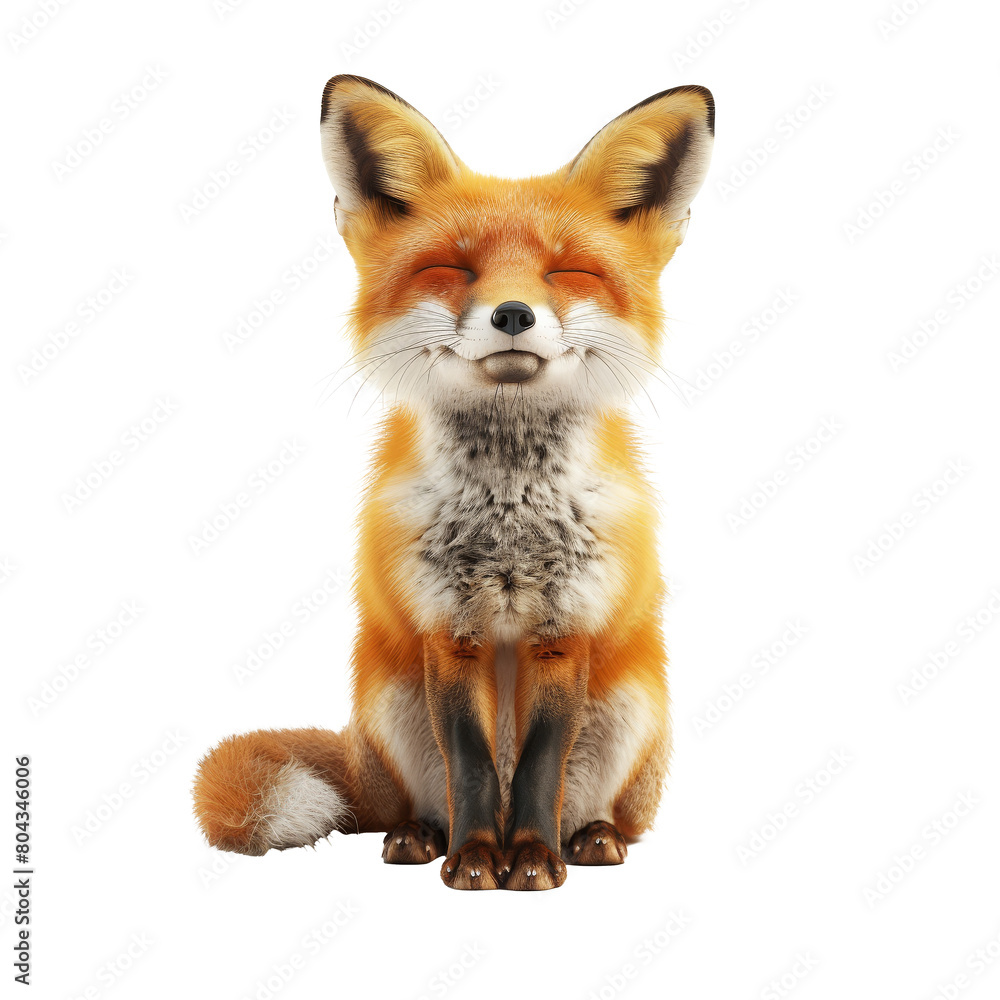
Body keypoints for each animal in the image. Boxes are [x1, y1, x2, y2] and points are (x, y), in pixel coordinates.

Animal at [192, 74, 714, 890]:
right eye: (454, 268)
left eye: (567, 272)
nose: (513, 313)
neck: (508, 513)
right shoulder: (448, 628)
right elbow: (469, 763)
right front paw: (473, 860)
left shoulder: (564, 630)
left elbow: (539, 767)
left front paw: (529, 860)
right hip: (392, 704)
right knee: (416, 798)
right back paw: (420, 834)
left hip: (631, 707)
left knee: (603, 810)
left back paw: (590, 838)